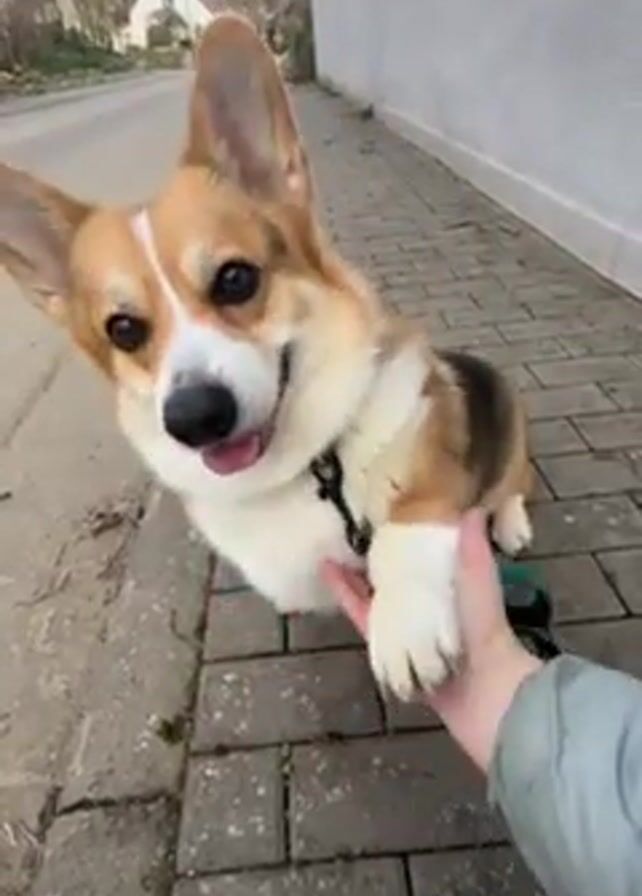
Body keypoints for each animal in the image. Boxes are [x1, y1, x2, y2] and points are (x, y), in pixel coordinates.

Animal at [0, 15, 532, 701]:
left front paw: (405, 626)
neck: (309, 467)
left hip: (512, 434)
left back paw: (512, 523)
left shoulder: (428, 461)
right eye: (123, 329)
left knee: (513, 484)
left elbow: (405, 524)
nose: (195, 418)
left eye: (235, 279)